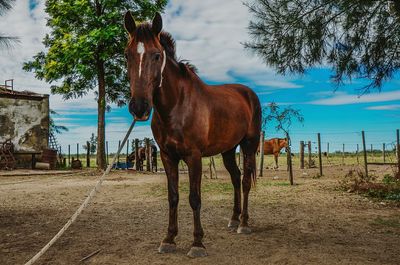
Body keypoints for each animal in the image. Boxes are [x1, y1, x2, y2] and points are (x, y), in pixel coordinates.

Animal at [125, 11, 262, 256]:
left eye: (157, 55)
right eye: (126, 55)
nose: (139, 108)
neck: (176, 106)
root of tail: (248, 93)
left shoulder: (194, 157)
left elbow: (194, 198)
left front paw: (197, 243)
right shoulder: (167, 157)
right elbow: (173, 197)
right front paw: (169, 239)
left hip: (249, 145)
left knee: (245, 181)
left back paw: (244, 224)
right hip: (228, 150)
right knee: (235, 178)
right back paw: (234, 219)